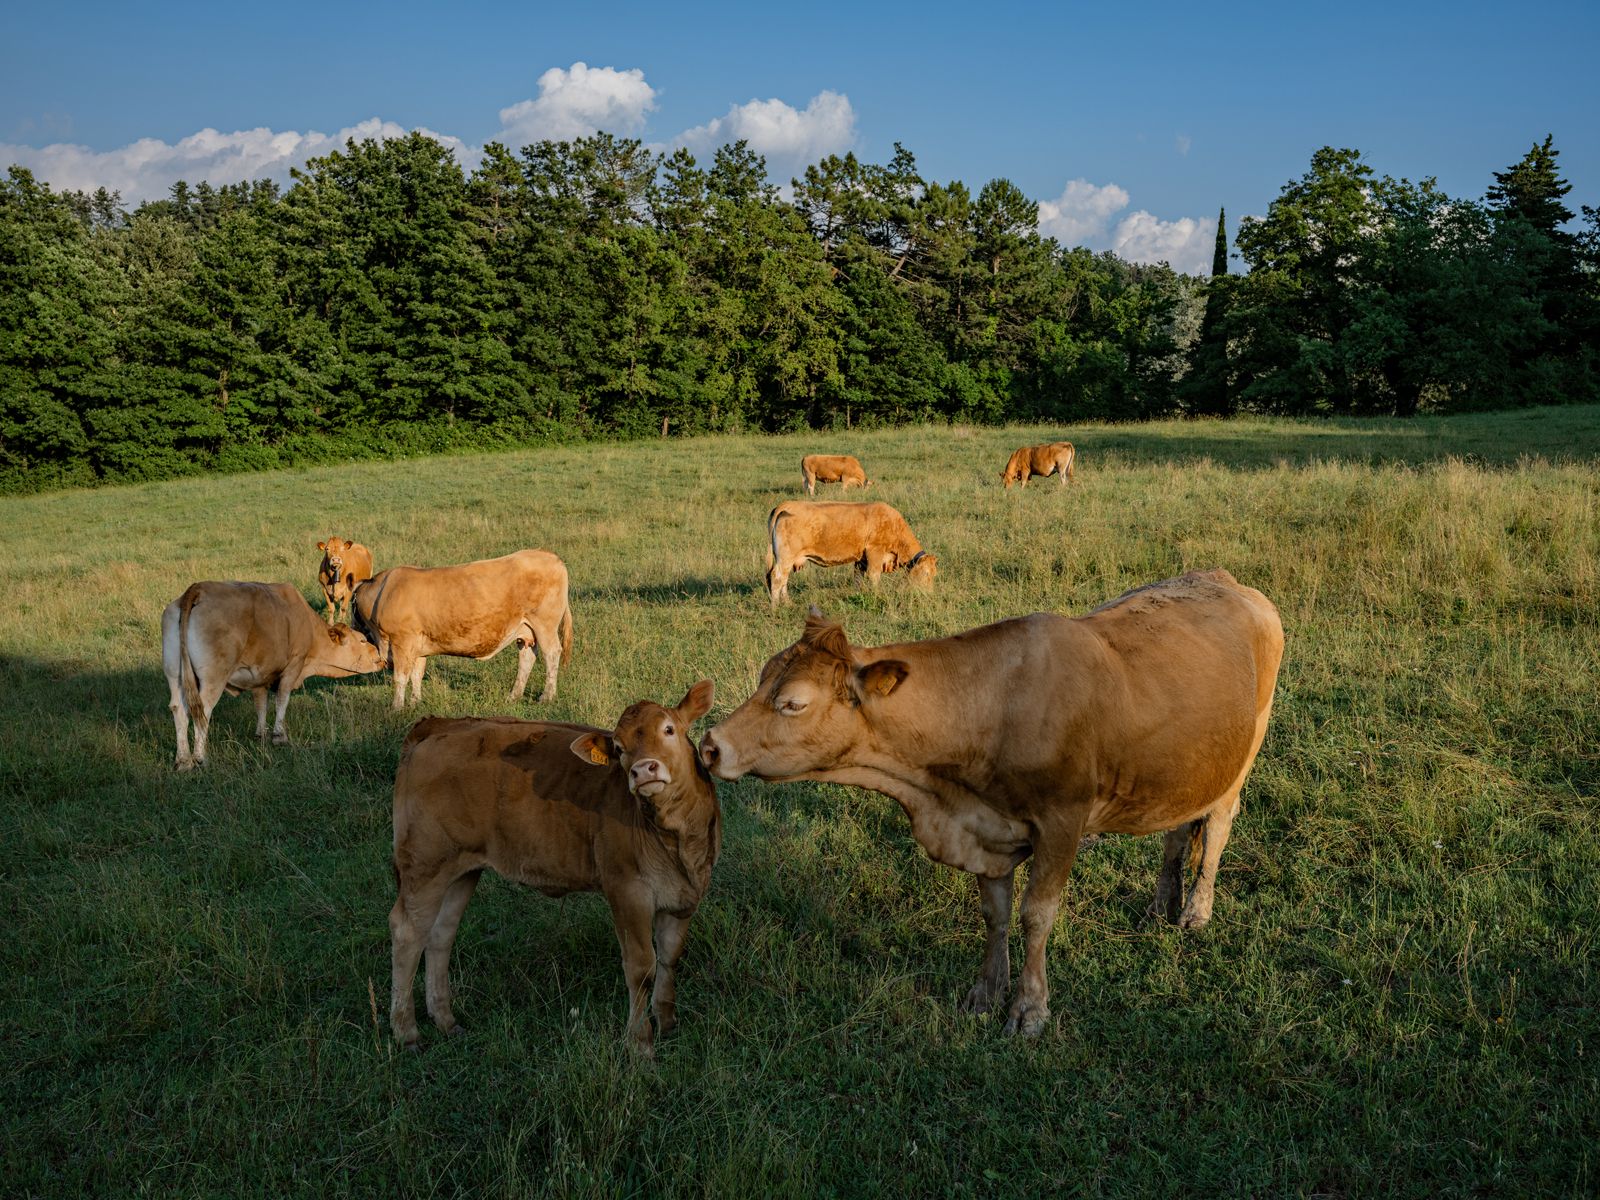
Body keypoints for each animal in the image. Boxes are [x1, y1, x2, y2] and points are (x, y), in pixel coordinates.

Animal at [161, 581, 385, 771]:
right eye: (363, 640)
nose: (380, 656)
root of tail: (199, 588)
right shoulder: (293, 666)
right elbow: (282, 699)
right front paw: (279, 735)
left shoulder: (260, 676)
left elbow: (261, 704)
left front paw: (261, 734)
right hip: (214, 677)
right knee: (203, 711)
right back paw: (200, 757)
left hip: (175, 675)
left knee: (179, 708)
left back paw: (183, 760)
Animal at [350, 549, 573, 710]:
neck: (383, 593)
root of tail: (552, 557)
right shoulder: (418, 645)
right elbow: (417, 674)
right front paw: (415, 702)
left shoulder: (402, 641)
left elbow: (401, 677)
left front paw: (396, 707)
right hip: (526, 630)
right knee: (527, 658)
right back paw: (514, 695)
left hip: (545, 625)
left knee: (552, 654)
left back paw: (547, 696)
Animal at [388, 681, 719, 1058]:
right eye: (619, 748)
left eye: (668, 730)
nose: (643, 770)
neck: (675, 839)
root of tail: (439, 725)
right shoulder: (627, 891)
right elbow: (641, 967)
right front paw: (640, 1043)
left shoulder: (685, 896)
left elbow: (669, 958)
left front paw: (667, 1024)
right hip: (425, 864)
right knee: (407, 933)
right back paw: (406, 1031)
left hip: (461, 870)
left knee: (440, 934)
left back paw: (445, 1020)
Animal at [699, 569, 1284, 1038]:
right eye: (762, 678)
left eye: (793, 703)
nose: (709, 745)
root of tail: (1227, 580)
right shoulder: (986, 829)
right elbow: (995, 913)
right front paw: (985, 991)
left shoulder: (1062, 821)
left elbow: (1036, 915)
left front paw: (1029, 1007)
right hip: (1185, 766)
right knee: (1177, 829)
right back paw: (1162, 902)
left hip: (1241, 756)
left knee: (1217, 828)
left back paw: (1195, 911)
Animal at [765, 500, 937, 607]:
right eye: (926, 574)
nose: (929, 594)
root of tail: (785, 505)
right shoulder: (875, 551)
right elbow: (874, 576)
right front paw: (876, 595)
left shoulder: (861, 559)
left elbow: (858, 578)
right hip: (785, 558)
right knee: (777, 578)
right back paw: (775, 607)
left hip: (787, 560)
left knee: (784, 580)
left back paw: (788, 603)